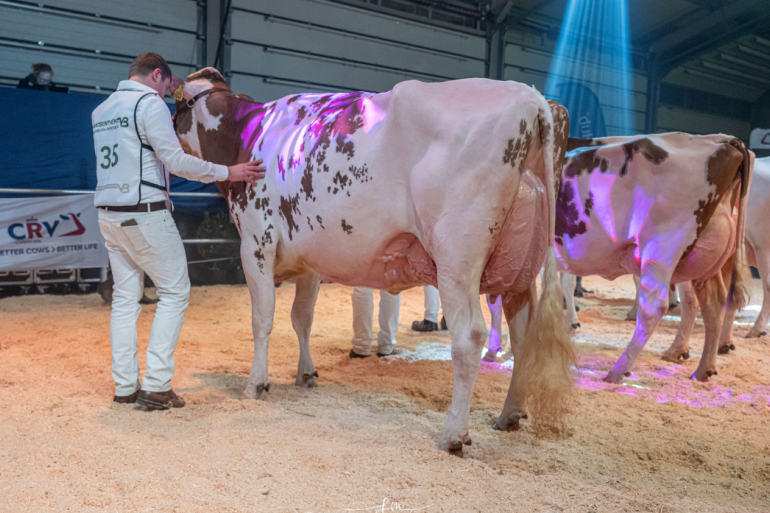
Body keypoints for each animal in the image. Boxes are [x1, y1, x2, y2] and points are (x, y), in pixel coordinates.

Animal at [171, 67, 572, 452]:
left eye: (177, 103)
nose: (169, 128)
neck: (244, 135)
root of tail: (531, 97)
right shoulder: (310, 260)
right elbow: (302, 319)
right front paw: (306, 374)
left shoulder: (256, 243)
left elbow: (262, 319)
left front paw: (256, 384)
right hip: (520, 268)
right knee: (524, 336)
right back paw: (510, 414)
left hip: (457, 257)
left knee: (469, 335)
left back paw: (453, 435)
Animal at [552, 134, 752, 382]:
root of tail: (722, 141)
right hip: (704, 263)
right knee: (713, 304)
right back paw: (703, 368)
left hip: (661, 248)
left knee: (655, 307)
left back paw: (619, 370)